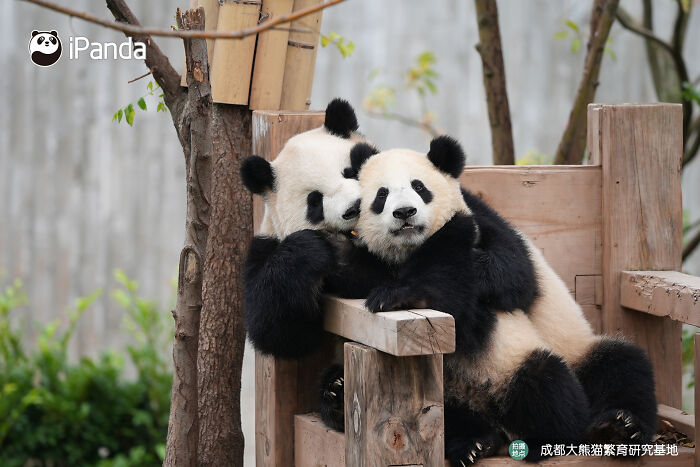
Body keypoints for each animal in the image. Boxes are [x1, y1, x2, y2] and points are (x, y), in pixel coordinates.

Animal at [240, 98, 388, 358]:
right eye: (315, 201)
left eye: (349, 172)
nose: (354, 207)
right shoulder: (265, 246)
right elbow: (277, 330)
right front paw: (314, 249)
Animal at [319, 136, 657, 465]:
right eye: (381, 195)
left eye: (420, 188)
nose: (404, 213)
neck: (409, 252)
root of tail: (498, 421)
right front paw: (340, 253)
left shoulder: (483, 223)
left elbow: (506, 275)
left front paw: (400, 293)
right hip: (446, 394)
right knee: (437, 417)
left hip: (557, 358)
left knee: (603, 371)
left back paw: (609, 429)